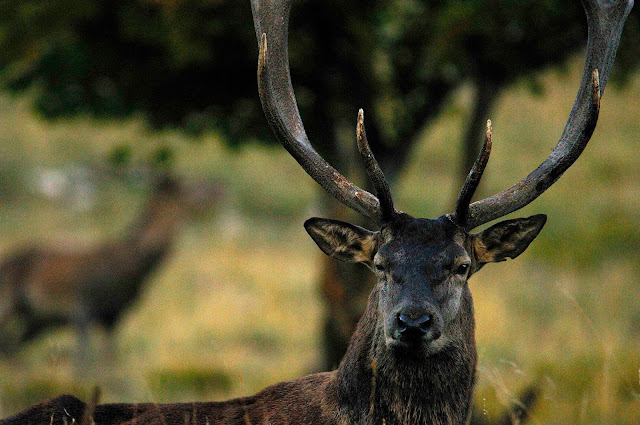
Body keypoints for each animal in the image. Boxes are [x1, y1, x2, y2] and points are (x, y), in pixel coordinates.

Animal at [0, 172, 184, 363]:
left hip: (37, 320)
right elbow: (83, 358)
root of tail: (4, 262)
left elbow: (107, 356)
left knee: (11, 345)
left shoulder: (113, 316)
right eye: (188, 190)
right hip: (10, 304)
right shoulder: (83, 309)